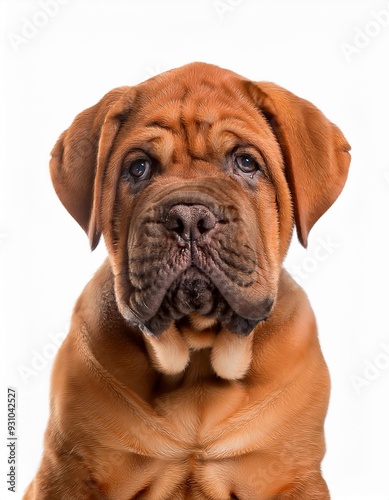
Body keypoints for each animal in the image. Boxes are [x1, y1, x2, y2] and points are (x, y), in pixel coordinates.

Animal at [25, 63, 350, 500]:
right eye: (139, 168)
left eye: (246, 163)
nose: (189, 218)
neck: (197, 355)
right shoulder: (67, 474)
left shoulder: (294, 475)